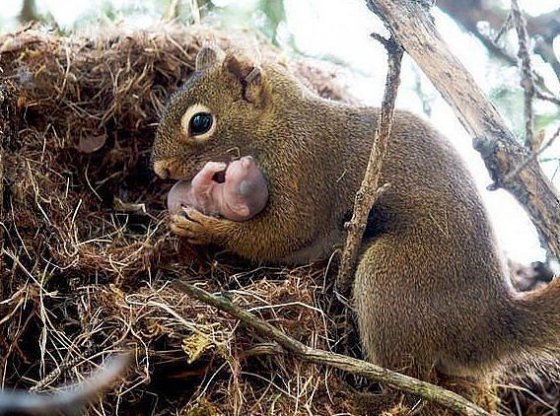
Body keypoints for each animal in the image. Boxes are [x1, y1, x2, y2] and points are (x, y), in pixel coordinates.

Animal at [151, 46, 560, 412]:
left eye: (200, 122)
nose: (159, 169)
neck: (279, 125)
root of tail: (492, 320)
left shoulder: (304, 168)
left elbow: (283, 233)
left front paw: (205, 227)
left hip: (392, 280)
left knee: (409, 386)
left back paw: (360, 396)